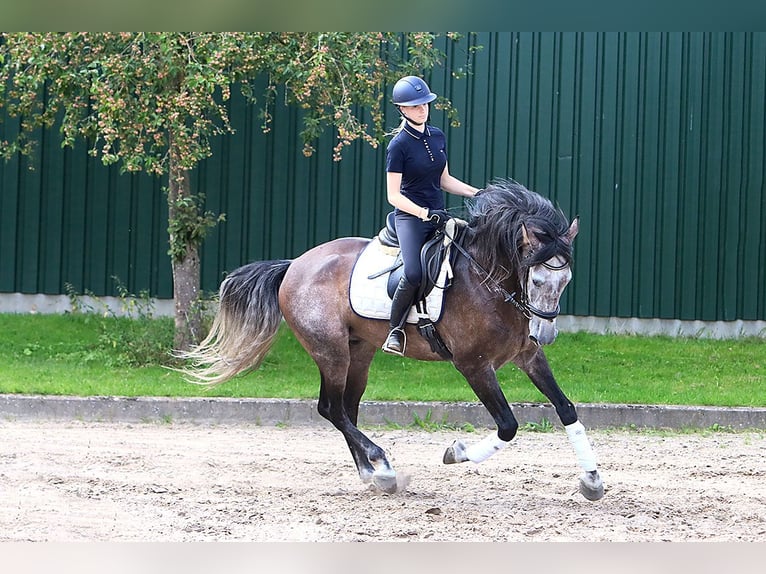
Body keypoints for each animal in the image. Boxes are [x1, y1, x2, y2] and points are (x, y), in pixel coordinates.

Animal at [178, 179, 604, 501]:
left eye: (566, 279)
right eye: (537, 279)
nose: (546, 333)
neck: (489, 280)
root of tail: (294, 265)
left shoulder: (528, 356)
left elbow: (566, 409)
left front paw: (592, 480)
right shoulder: (474, 366)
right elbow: (508, 426)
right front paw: (456, 452)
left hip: (360, 352)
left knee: (346, 409)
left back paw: (374, 474)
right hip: (330, 351)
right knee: (331, 409)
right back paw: (382, 465)